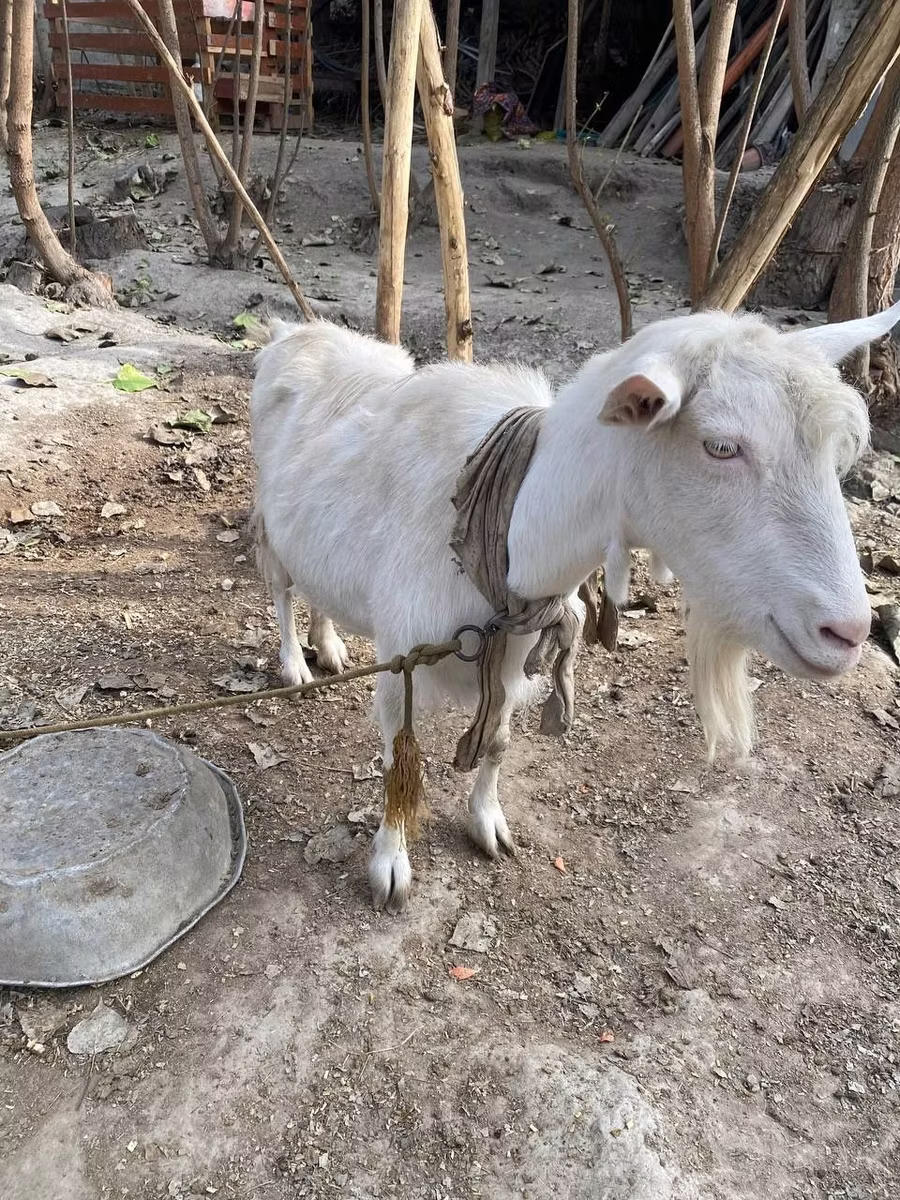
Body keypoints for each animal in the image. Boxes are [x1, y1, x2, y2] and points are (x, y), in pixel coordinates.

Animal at [250, 303, 900, 911]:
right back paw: (296, 665)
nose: (847, 632)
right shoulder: (400, 659)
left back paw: (330, 645)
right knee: (281, 587)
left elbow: (497, 742)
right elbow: (396, 761)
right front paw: (390, 865)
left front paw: (488, 825)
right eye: (720, 445)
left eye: (836, 455)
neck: (508, 533)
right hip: (271, 519)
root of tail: (291, 331)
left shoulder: (513, 650)